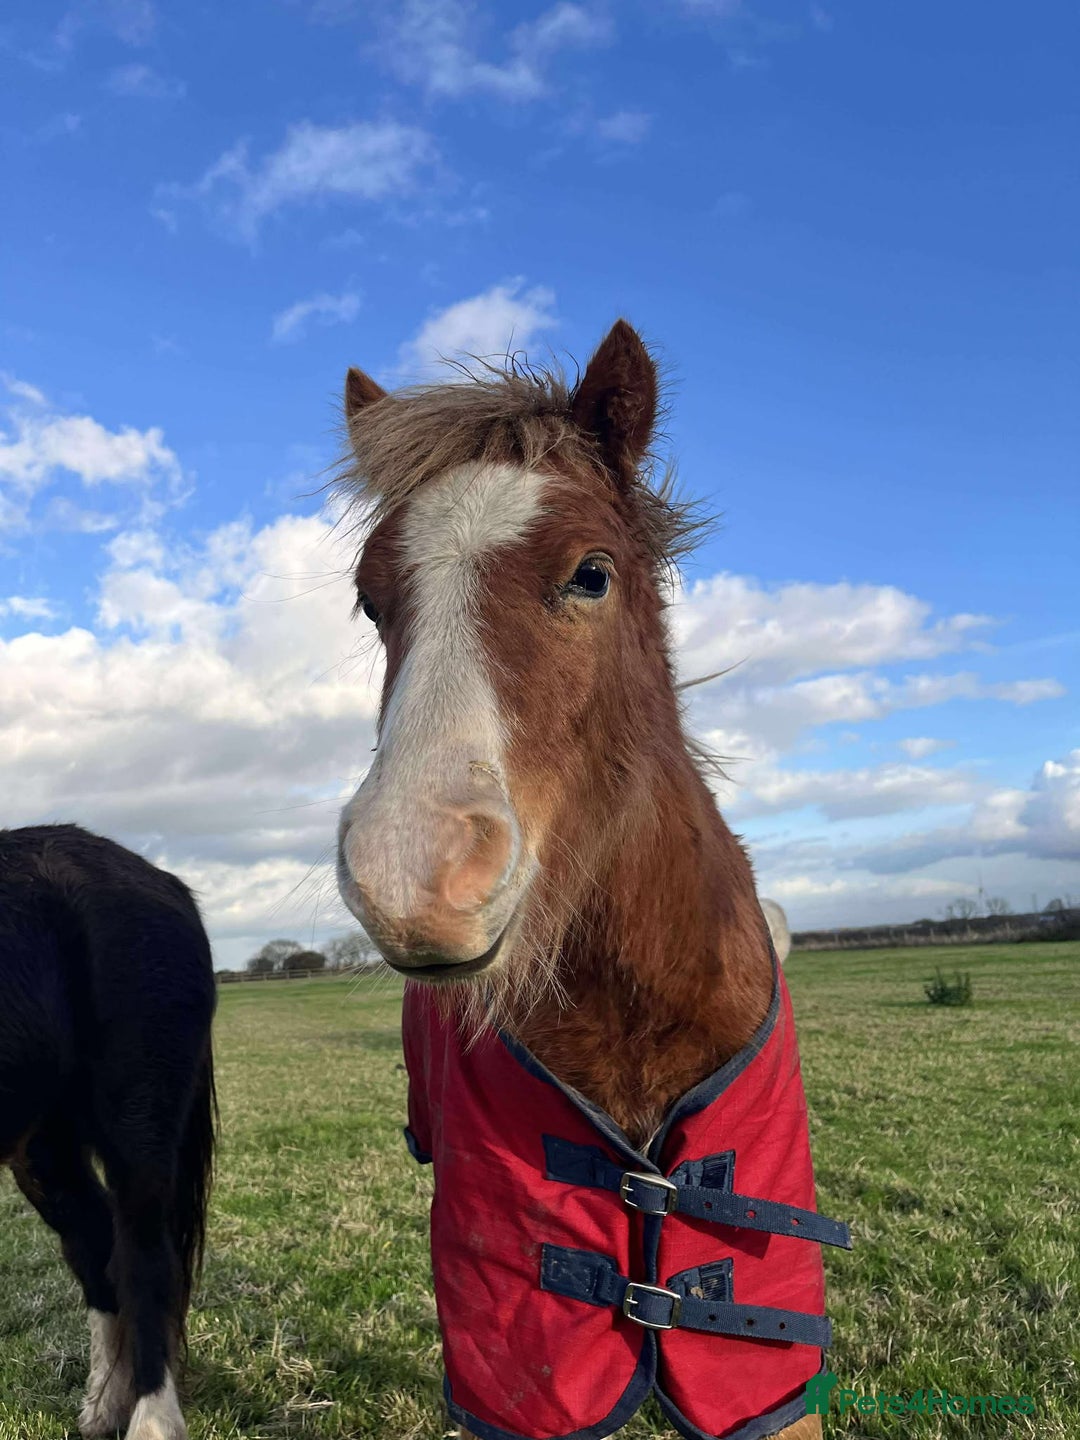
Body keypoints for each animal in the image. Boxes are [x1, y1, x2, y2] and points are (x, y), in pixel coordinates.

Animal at [0, 824, 216, 1440]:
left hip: (137, 1132)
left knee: (144, 1263)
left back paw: (150, 1419)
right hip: (44, 1148)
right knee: (97, 1249)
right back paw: (103, 1408)